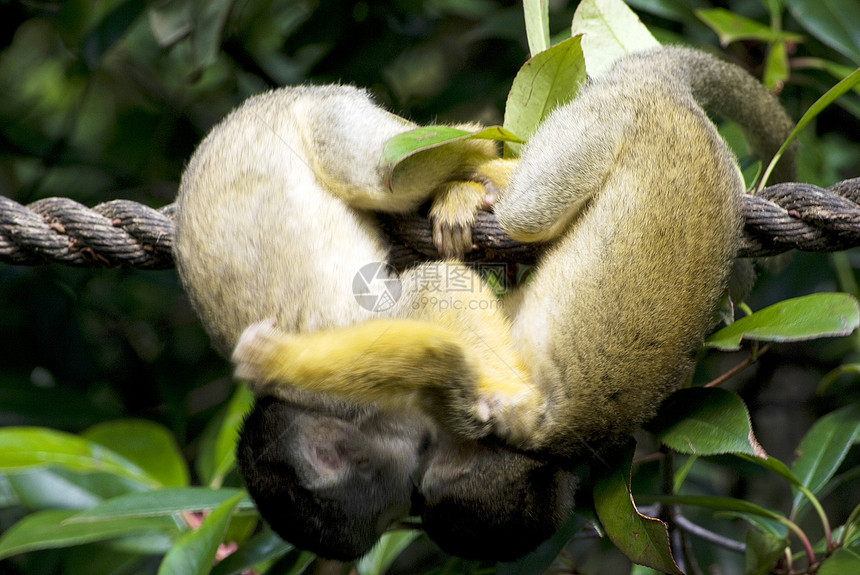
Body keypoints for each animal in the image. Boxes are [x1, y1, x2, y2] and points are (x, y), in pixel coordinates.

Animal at [171, 47, 796, 560]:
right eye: (398, 501)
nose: (413, 495)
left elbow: (434, 300)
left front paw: (267, 357)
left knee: (404, 178)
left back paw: (480, 159)